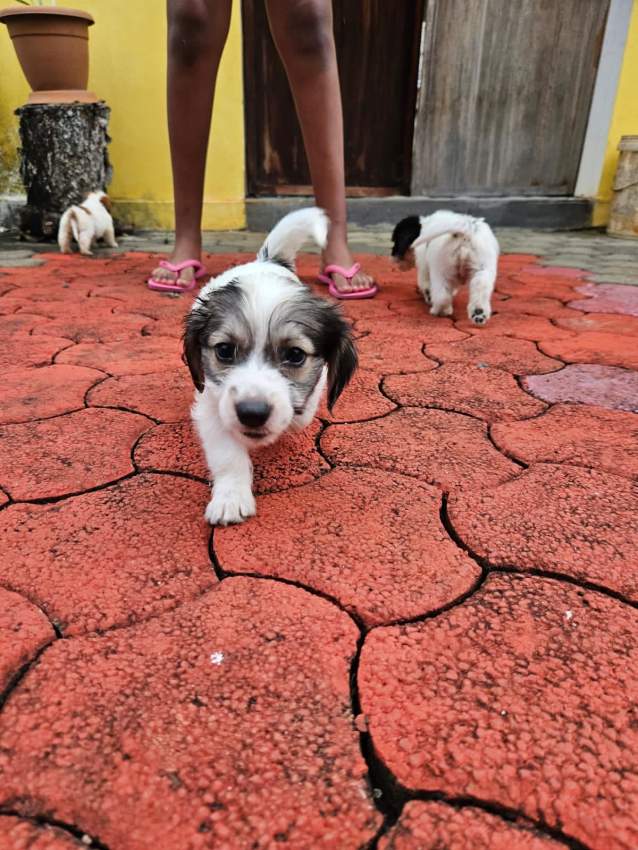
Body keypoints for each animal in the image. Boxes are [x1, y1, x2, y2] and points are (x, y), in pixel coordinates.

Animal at [182, 206, 358, 524]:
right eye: (224, 350)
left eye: (296, 355)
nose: (252, 413)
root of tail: (266, 260)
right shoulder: (211, 405)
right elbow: (227, 454)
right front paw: (230, 498)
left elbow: (301, 412)